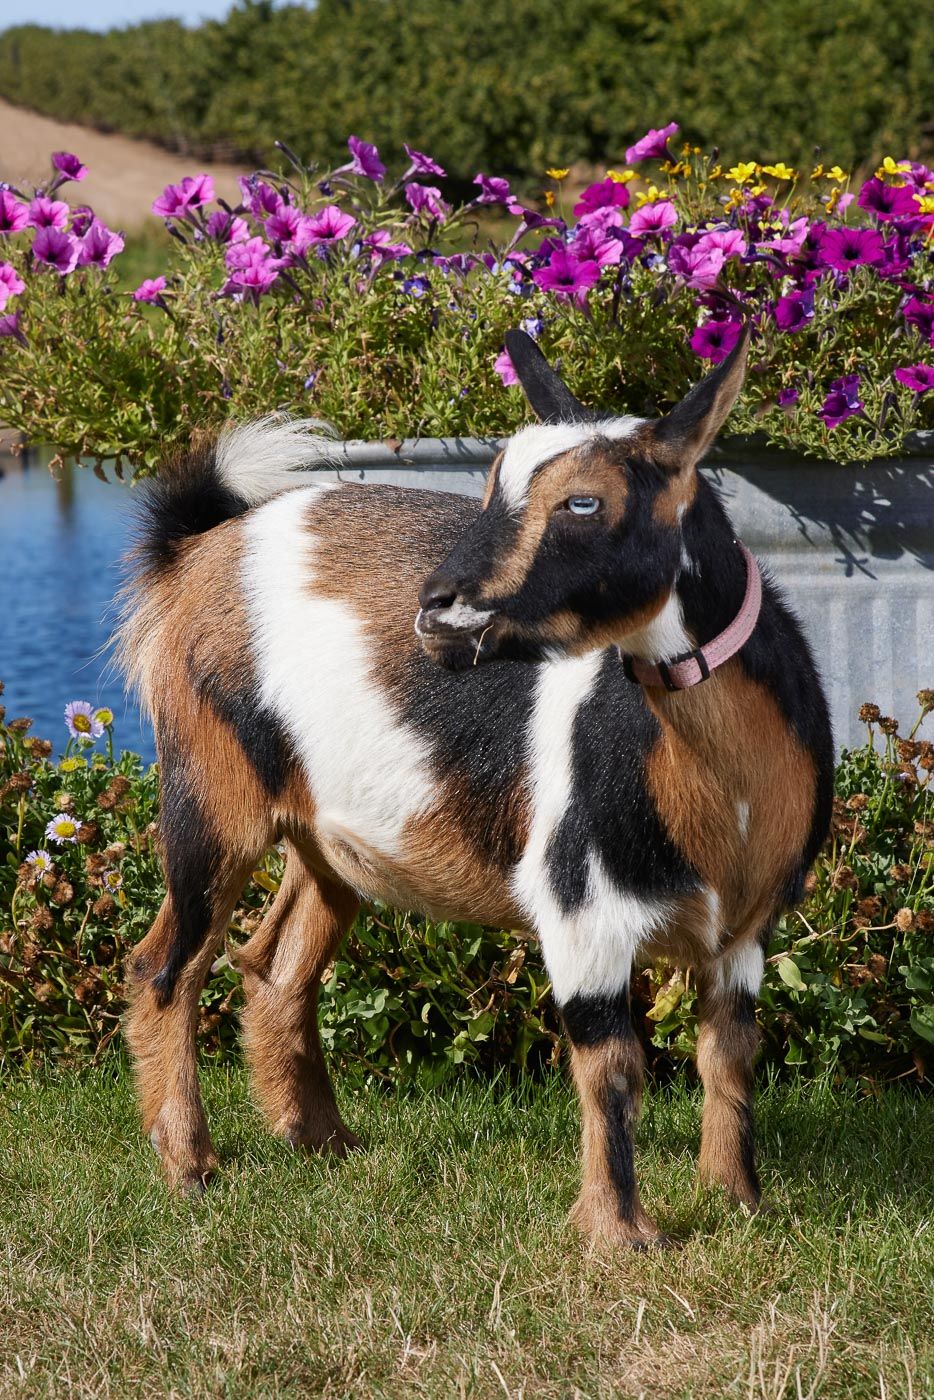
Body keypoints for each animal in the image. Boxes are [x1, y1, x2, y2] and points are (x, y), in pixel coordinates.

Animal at [119, 327, 832, 1247]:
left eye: (583, 503)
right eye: (491, 484)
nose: (439, 611)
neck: (725, 789)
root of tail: (205, 547)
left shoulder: (745, 927)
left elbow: (730, 1053)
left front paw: (739, 1201)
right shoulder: (581, 908)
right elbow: (612, 1067)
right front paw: (620, 1237)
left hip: (325, 835)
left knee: (277, 964)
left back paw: (325, 1143)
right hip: (209, 788)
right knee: (165, 966)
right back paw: (190, 1168)